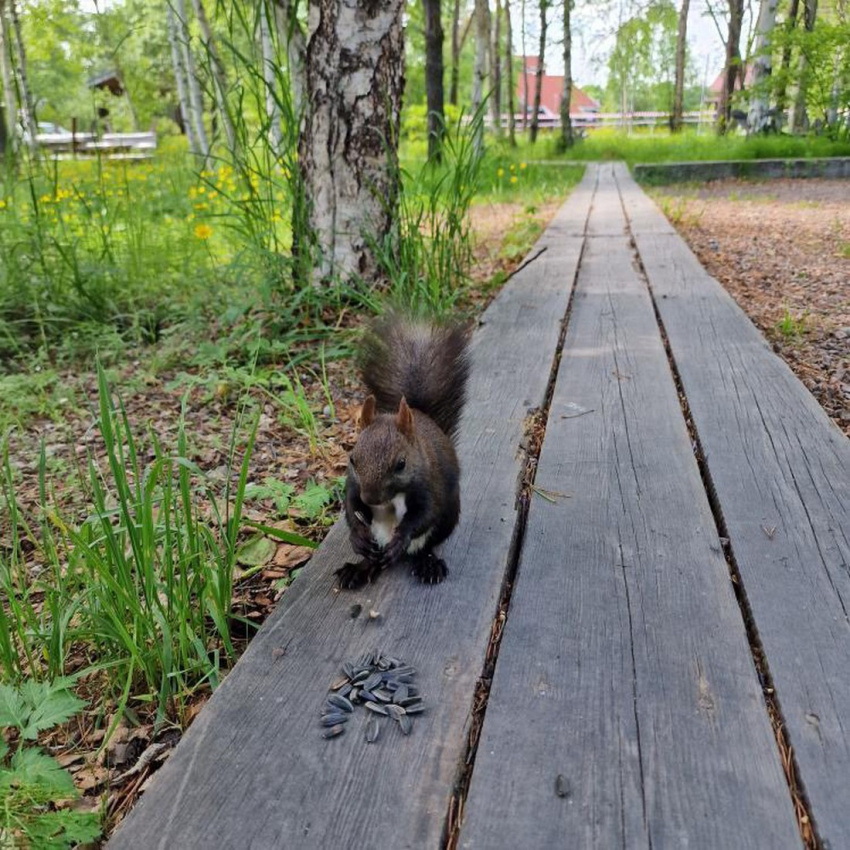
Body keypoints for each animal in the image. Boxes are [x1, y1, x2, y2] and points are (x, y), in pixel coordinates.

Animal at [336, 312, 470, 588]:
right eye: (352, 460)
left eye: (401, 464)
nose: (371, 499)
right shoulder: (354, 486)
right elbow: (350, 508)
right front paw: (357, 536)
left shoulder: (429, 485)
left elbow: (424, 514)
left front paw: (402, 536)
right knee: (373, 557)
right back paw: (359, 568)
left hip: (448, 518)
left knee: (424, 546)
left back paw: (427, 563)